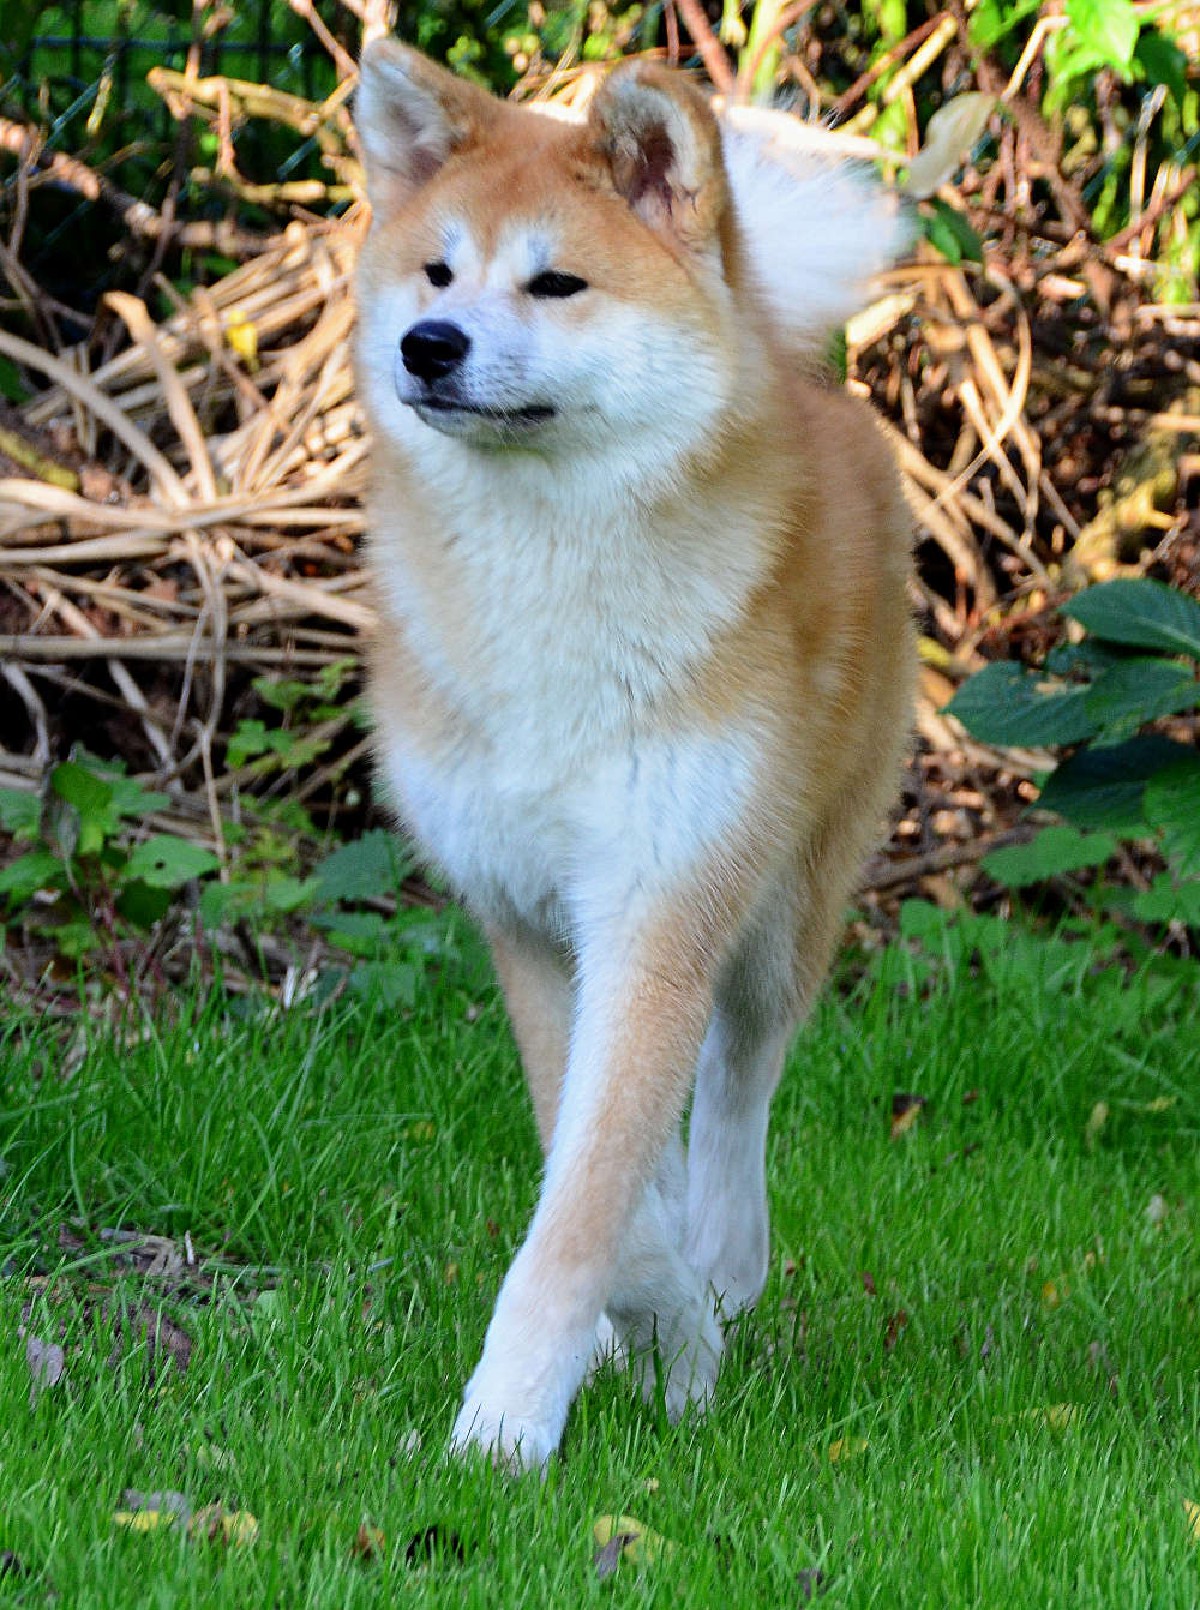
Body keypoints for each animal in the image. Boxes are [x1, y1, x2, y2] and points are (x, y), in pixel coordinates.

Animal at [354, 39, 915, 1470]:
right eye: (436, 272)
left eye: (557, 281)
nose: (428, 345)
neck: (547, 582)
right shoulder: (532, 917)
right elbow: (591, 1162)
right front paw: (655, 1327)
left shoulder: (661, 898)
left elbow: (592, 1195)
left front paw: (505, 1423)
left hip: (790, 892)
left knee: (738, 1078)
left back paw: (730, 1245)